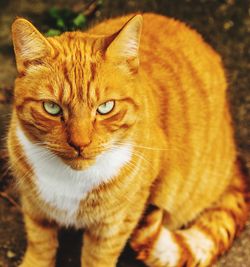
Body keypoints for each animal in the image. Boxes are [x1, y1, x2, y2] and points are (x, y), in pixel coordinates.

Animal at [7, 14, 248, 267]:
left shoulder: (117, 222)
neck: (70, 179)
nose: (80, 144)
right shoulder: (33, 205)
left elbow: (98, 257)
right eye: (52, 108)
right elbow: (40, 244)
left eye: (105, 107)